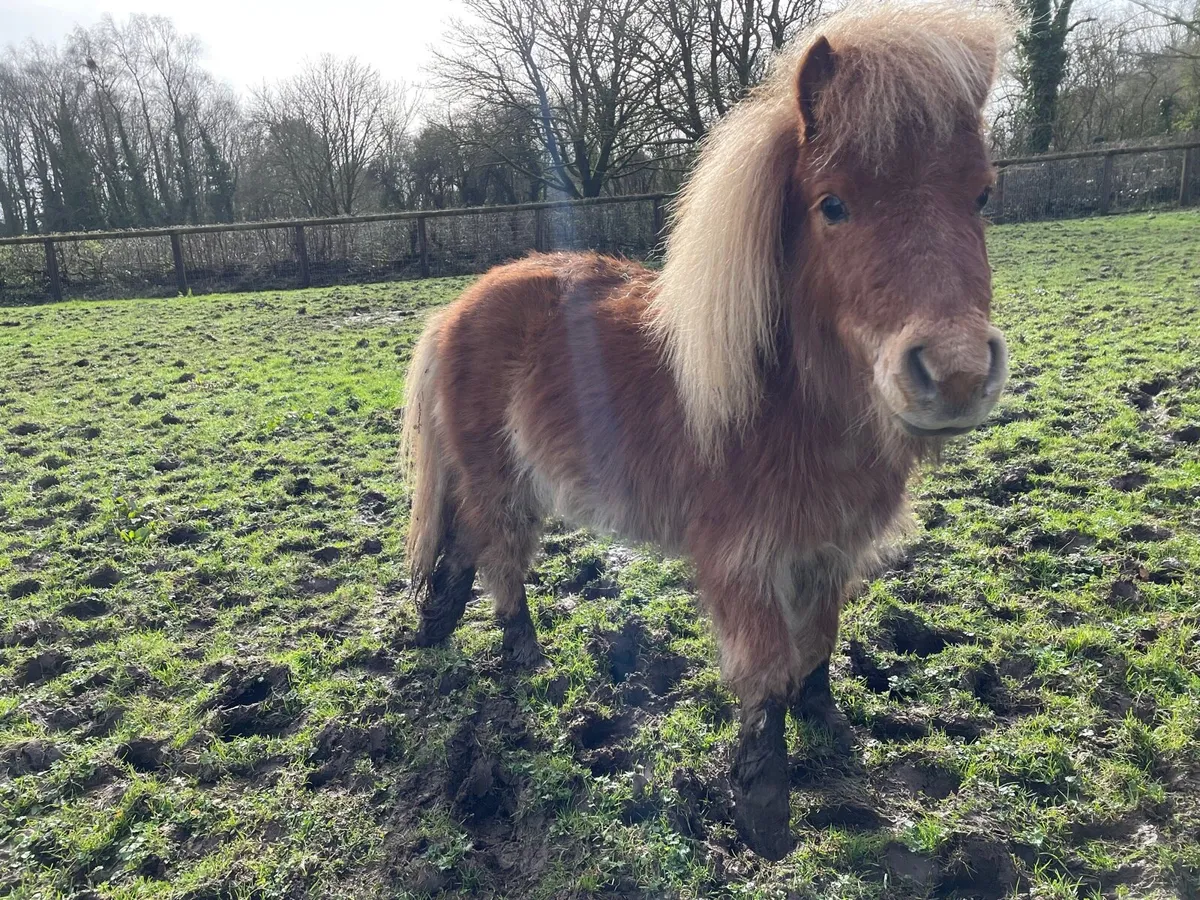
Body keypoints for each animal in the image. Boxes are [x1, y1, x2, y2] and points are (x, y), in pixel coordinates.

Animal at [401, 0, 1012, 859]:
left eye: (982, 195)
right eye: (833, 204)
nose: (954, 375)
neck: (790, 403)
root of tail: (458, 308)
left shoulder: (827, 549)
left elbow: (817, 646)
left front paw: (830, 730)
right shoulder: (744, 560)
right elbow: (765, 674)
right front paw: (764, 811)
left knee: (461, 550)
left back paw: (438, 631)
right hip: (501, 483)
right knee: (498, 558)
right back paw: (522, 653)